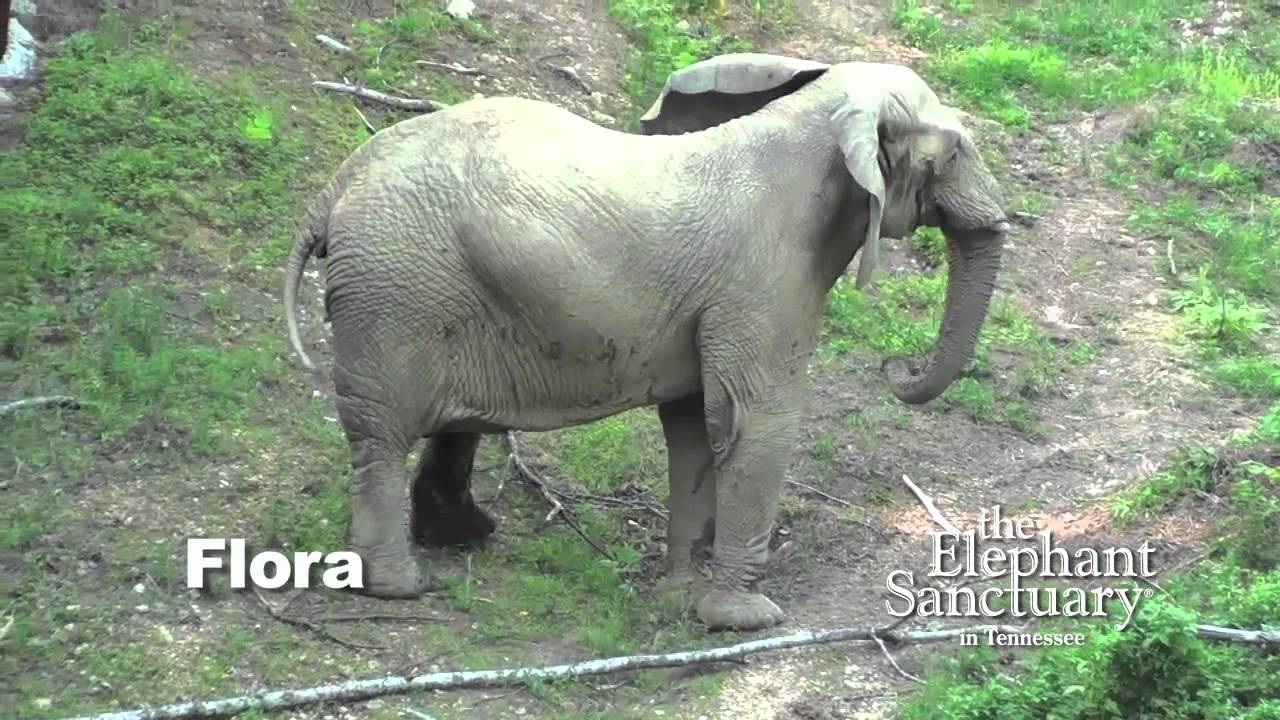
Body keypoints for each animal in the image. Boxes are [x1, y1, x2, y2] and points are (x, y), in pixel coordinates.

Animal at [283, 52, 1010, 631]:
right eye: (954, 152)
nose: (896, 368)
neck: (814, 114)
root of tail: (333, 189)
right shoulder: (763, 281)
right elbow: (755, 422)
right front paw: (746, 619)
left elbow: (693, 427)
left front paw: (680, 594)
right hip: (395, 293)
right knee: (383, 436)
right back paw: (402, 585)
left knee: (450, 424)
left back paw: (463, 539)